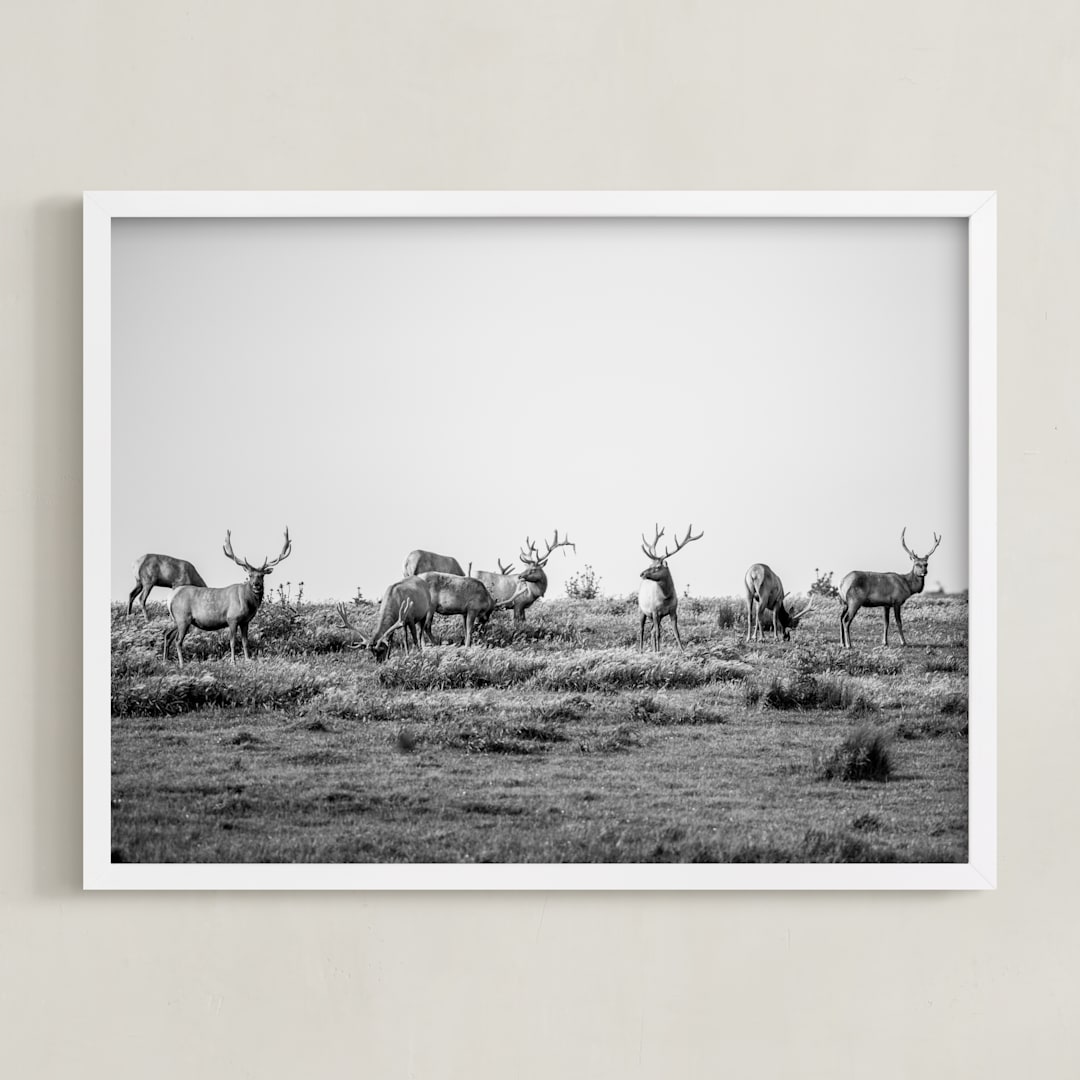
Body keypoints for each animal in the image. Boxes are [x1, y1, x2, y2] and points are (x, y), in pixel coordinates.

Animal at [162, 528, 292, 667]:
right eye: (250, 575)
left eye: (262, 575)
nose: (256, 585)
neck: (247, 602)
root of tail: (171, 597)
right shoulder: (232, 618)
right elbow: (233, 642)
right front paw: (233, 662)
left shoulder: (245, 621)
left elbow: (245, 642)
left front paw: (248, 660)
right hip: (183, 617)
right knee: (178, 640)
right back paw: (182, 664)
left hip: (177, 619)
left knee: (167, 634)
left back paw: (165, 661)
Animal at [638, 523, 703, 652]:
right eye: (650, 564)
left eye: (657, 567)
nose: (642, 573)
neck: (666, 598)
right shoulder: (654, 611)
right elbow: (658, 634)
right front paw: (658, 652)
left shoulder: (673, 610)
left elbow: (676, 633)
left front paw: (683, 651)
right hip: (642, 610)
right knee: (642, 630)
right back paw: (642, 650)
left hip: (656, 617)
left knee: (652, 631)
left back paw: (653, 649)